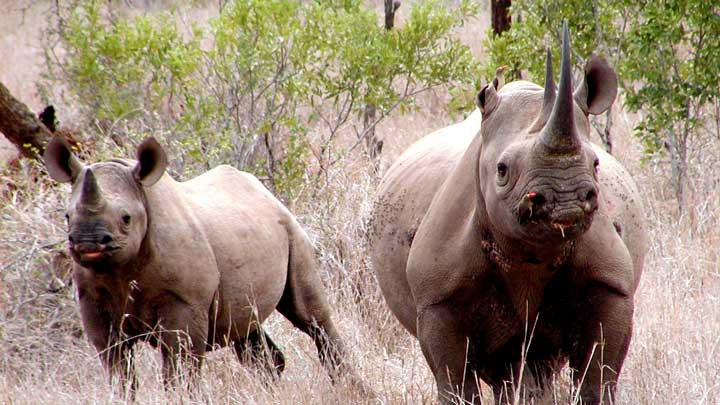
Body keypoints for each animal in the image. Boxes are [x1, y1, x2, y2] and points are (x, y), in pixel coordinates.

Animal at [43, 135, 362, 392]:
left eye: (126, 218)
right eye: (67, 217)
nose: (87, 243)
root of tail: (265, 192)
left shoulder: (184, 304)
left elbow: (179, 369)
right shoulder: (93, 302)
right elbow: (119, 369)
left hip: (292, 229)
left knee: (310, 316)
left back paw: (350, 388)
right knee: (245, 329)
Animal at [372, 22, 648, 404]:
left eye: (595, 163)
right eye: (502, 170)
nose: (565, 199)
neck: (531, 256)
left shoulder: (611, 282)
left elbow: (598, 378)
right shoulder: (437, 300)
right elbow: (455, 385)